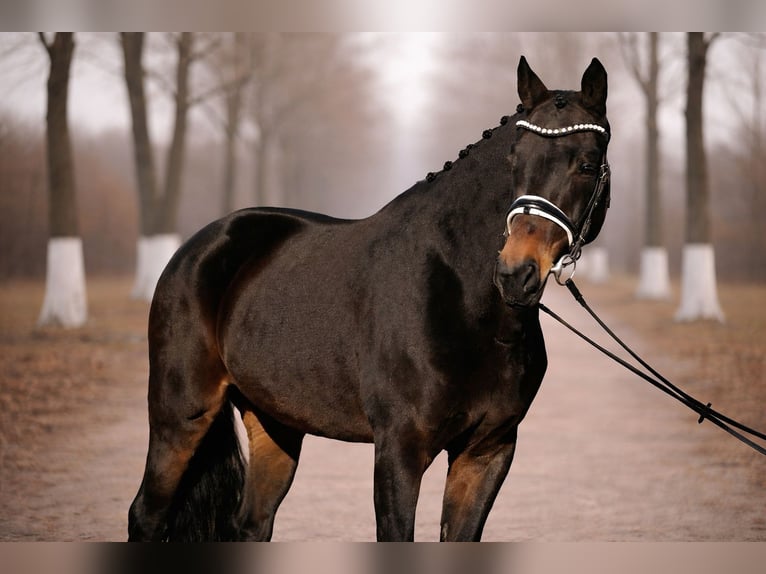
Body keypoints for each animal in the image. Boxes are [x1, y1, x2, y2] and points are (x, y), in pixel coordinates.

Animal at [128, 56, 611, 542]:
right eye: (514, 160)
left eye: (588, 165)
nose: (515, 273)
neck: (462, 297)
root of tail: (198, 246)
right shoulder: (400, 449)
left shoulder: (488, 451)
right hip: (181, 415)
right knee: (145, 515)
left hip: (275, 422)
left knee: (251, 523)